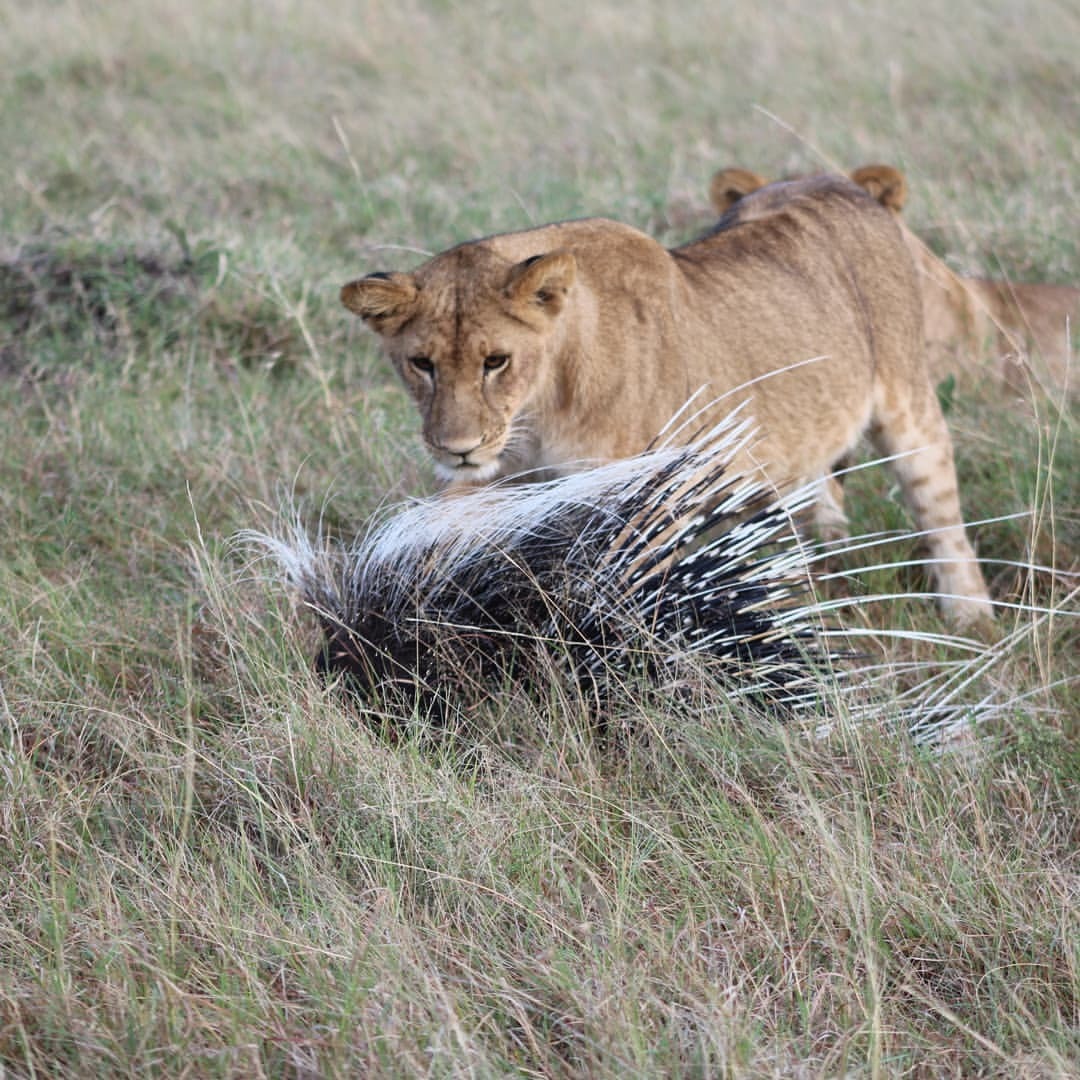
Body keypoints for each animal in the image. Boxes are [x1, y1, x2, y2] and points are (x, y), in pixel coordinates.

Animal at [341, 177, 989, 626]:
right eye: (422, 364)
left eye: (495, 361)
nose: (457, 448)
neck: (539, 410)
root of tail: (844, 183)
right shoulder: (489, 481)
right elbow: (439, 533)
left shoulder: (642, 494)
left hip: (910, 408)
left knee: (941, 514)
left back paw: (970, 615)